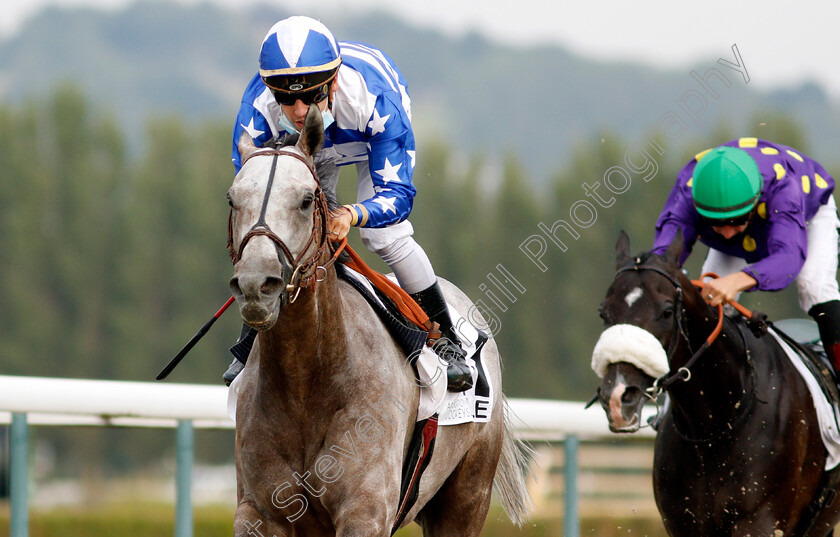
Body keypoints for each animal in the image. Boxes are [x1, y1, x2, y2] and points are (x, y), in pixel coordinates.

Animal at [592, 231, 840, 536]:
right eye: (604, 313)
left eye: (666, 311)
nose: (617, 398)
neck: (716, 425)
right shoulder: (684, 523)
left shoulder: (759, 522)